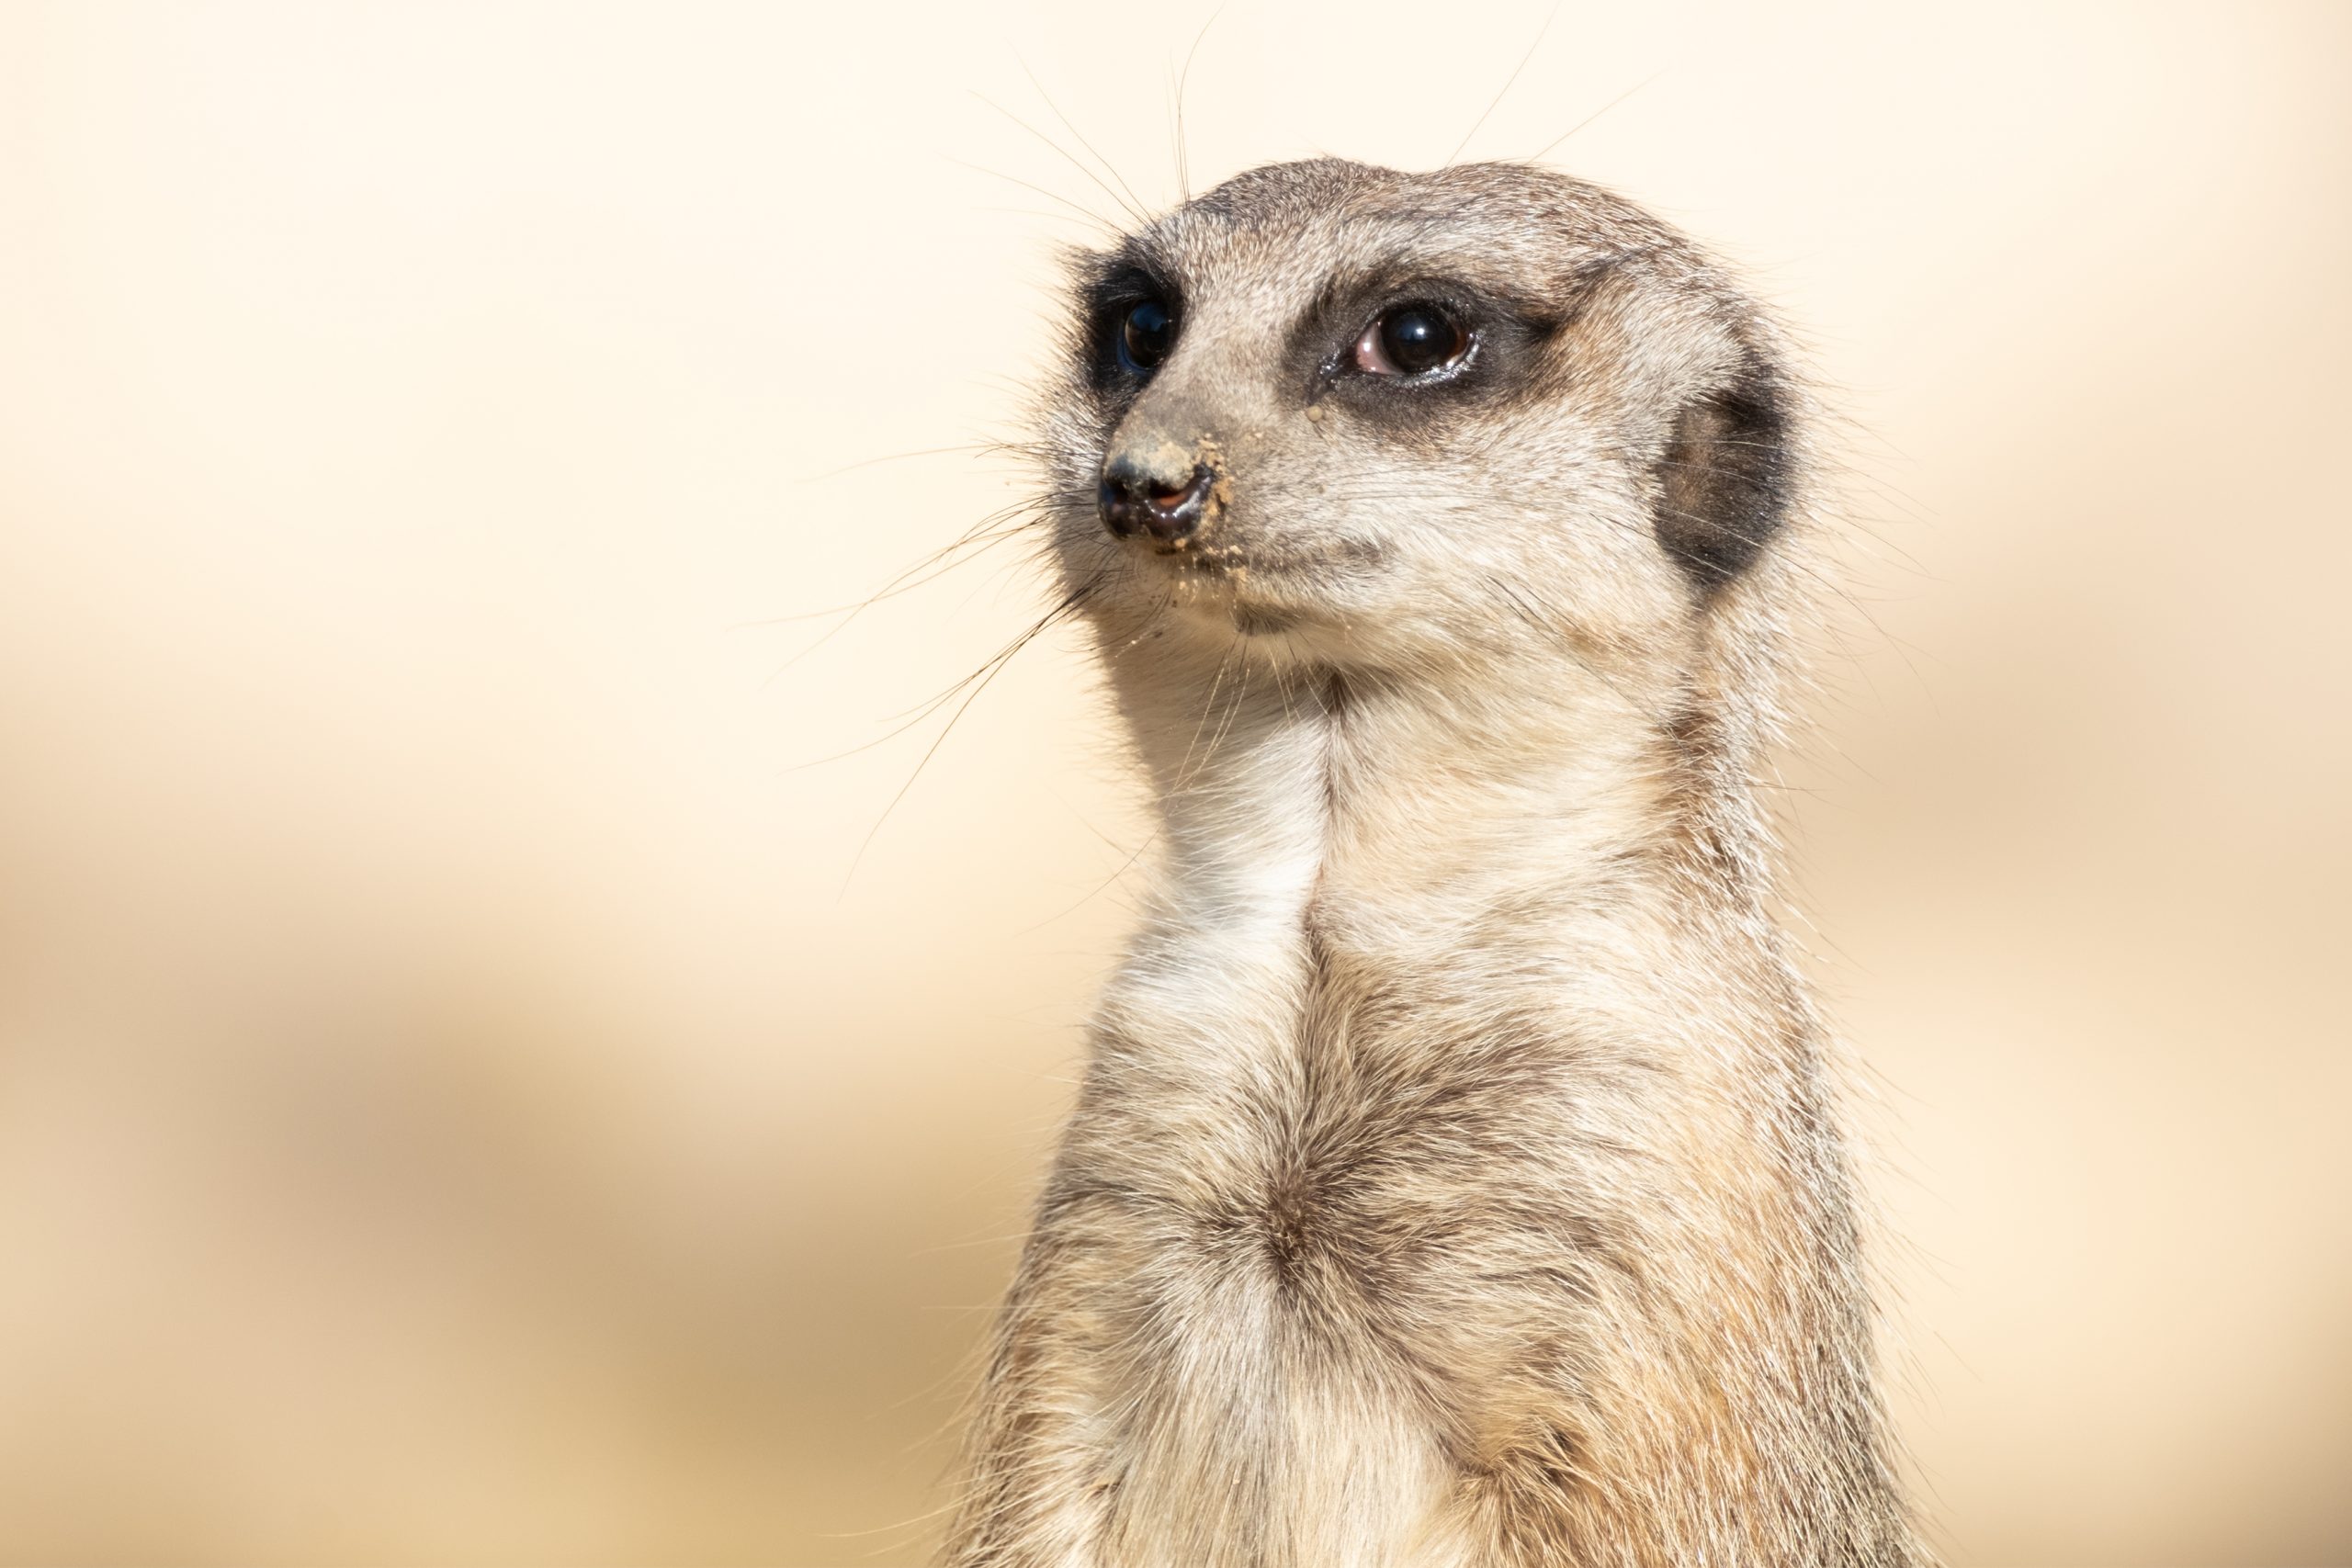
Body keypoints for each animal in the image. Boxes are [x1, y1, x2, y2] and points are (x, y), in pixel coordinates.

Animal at [941, 158, 1924, 1567]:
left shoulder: (1650, 1190)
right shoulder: (1111, 1201)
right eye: (1140, 325)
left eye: (1413, 336)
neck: (1322, 944)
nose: (1147, 480)